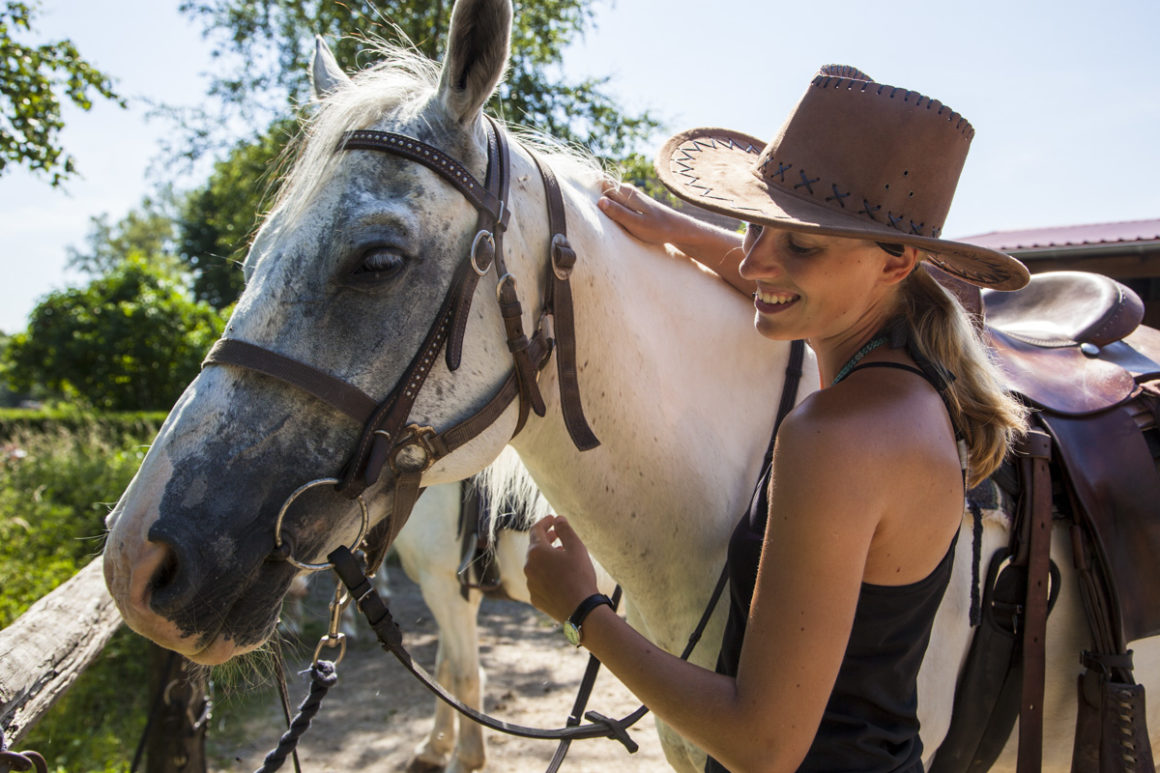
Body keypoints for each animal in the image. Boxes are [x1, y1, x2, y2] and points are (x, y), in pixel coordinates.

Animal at [102, 0, 1159, 770]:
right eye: (254, 259)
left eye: (377, 259)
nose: (137, 564)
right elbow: (453, 666)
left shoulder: (445, 578)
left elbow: (462, 671)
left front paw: (454, 753)